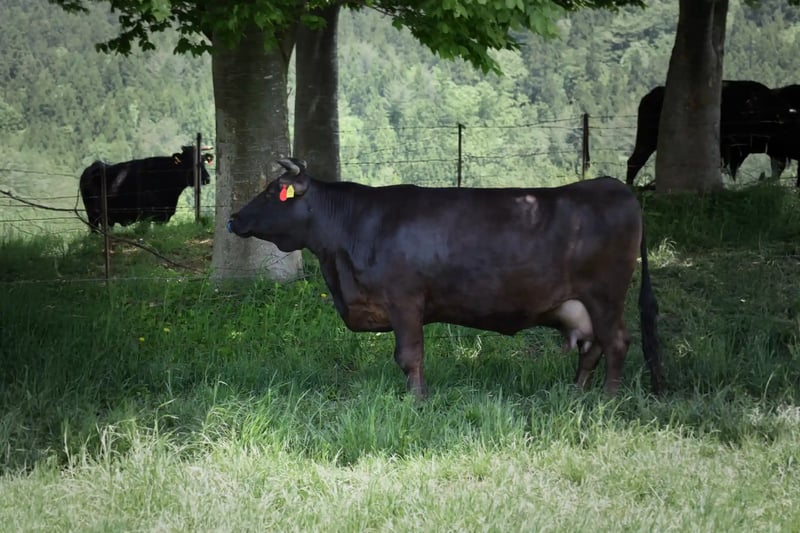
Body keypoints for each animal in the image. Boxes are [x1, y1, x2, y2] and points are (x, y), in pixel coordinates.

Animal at [79, 145, 211, 231]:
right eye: (190, 161)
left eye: (203, 160)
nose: (207, 178)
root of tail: (94, 165)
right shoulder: (145, 216)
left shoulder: (162, 217)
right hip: (92, 215)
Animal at [227, 158, 664, 398]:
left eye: (271, 191)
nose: (232, 219)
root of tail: (614, 186)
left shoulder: (405, 301)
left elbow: (408, 356)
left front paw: (417, 401)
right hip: (584, 304)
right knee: (591, 347)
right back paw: (576, 394)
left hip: (606, 295)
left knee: (617, 343)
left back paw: (607, 400)